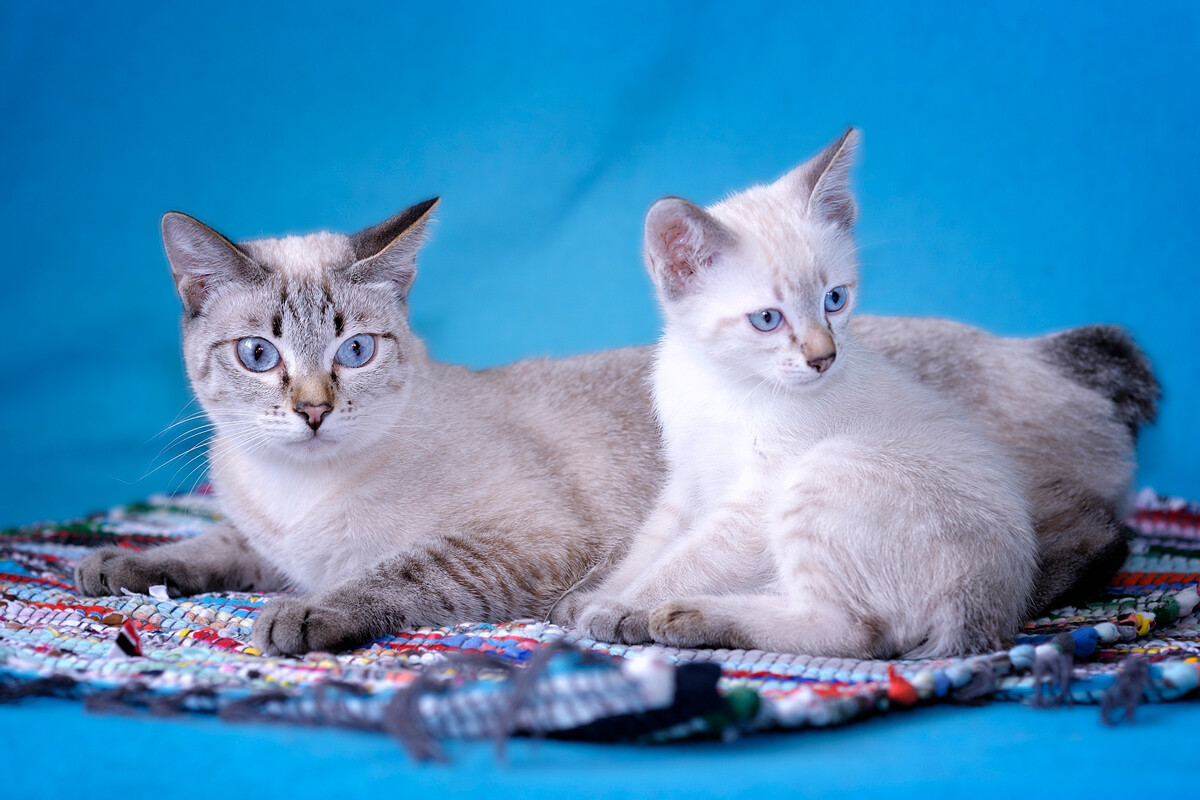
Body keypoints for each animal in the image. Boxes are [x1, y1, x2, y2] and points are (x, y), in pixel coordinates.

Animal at [72, 190, 1152, 662]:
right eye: (260, 355)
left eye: (357, 351)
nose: (310, 410)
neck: (296, 491)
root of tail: (1037, 346)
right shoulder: (266, 540)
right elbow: (210, 546)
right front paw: (115, 564)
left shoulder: (521, 543)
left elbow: (387, 577)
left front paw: (300, 619)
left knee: (1090, 542)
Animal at [552, 131, 1132, 657]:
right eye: (768, 319)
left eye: (835, 299)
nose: (823, 357)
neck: (722, 382)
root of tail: (989, 601)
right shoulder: (687, 482)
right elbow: (648, 549)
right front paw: (591, 600)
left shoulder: (755, 501)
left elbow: (684, 561)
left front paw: (617, 607)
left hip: (825, 470)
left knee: (853, 632)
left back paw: (688, 616)